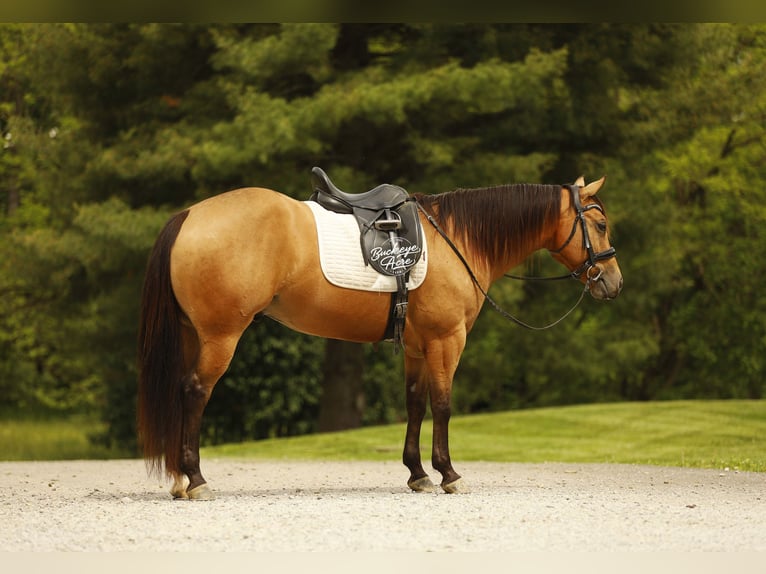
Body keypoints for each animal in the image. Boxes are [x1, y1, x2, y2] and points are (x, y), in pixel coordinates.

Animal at [137, 173, 622, 499]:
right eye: (600, 225)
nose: (613, 283)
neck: (457, 239)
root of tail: (188, 216)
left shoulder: (417, 348)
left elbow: (415, 404)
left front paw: (418, 474)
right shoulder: (447, 341)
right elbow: (443, 405)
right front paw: (449, 474)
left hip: (193, 336)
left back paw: (180, 481)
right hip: (220, 337)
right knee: (195, 392)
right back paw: (196, 479)